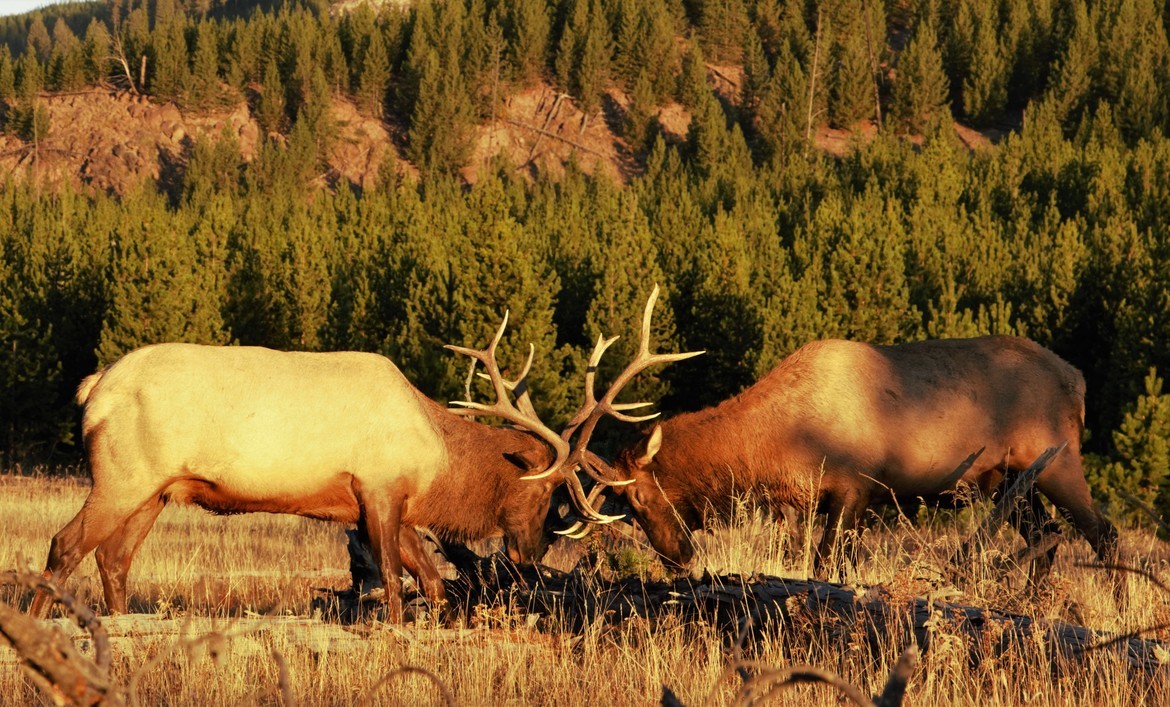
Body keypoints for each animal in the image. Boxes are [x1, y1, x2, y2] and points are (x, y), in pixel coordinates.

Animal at [30, 287, 696, 621]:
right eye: (541, 491)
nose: (532, 555)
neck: (438, 459)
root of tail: (93, 389)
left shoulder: (375, 503)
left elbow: (432, 581)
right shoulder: (378, 488)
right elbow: (398, 581)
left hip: (155, 489)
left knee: (113, 558)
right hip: (120, 474)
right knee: (65, 545)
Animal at [562, 335, 1119, 586]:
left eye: (636, 497)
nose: (676, 558)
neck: (783, 441)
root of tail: (1078, 380)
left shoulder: (856, 488)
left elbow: (827, 564)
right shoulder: (797, 503)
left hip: (1058, 461)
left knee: (1102, 531)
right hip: (1007, 481)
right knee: (1046, 536)